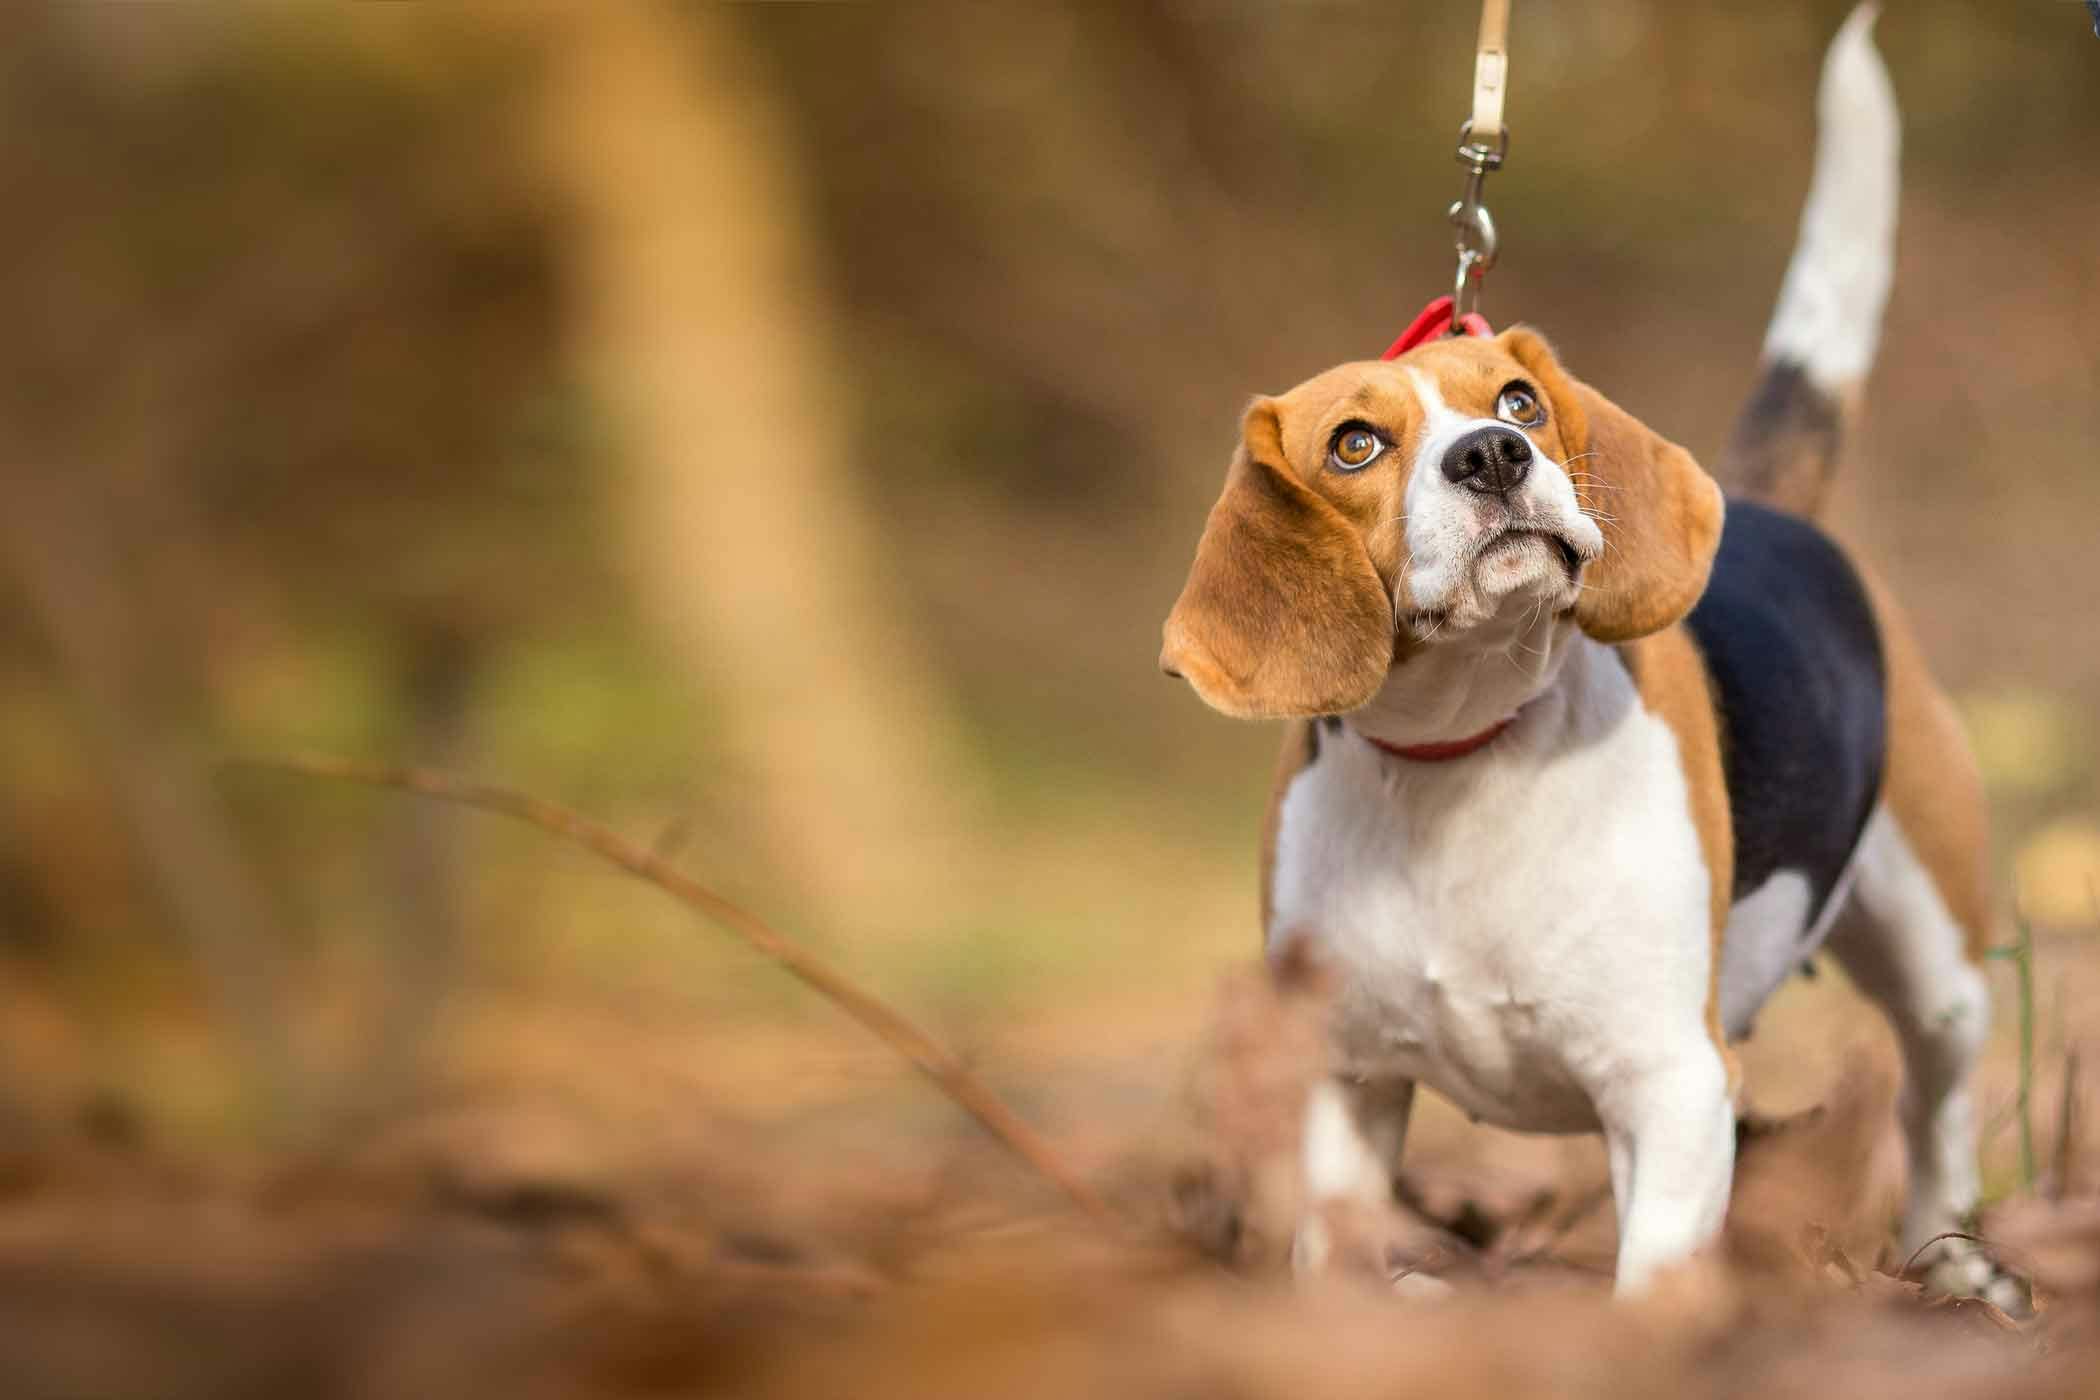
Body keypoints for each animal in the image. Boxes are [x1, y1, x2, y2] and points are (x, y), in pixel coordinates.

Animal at [1159, 10, 2007, 1301]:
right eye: (1354, 443)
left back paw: (1954, 1271)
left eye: (1517, 398)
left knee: (1937, 1111)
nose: (1495, 455)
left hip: (1937, 960)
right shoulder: (1348, 1080)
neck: (1463, 758)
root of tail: (1772, 508)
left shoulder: (1671, 1083)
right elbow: (1337, 1245)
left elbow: (1651, 1282)